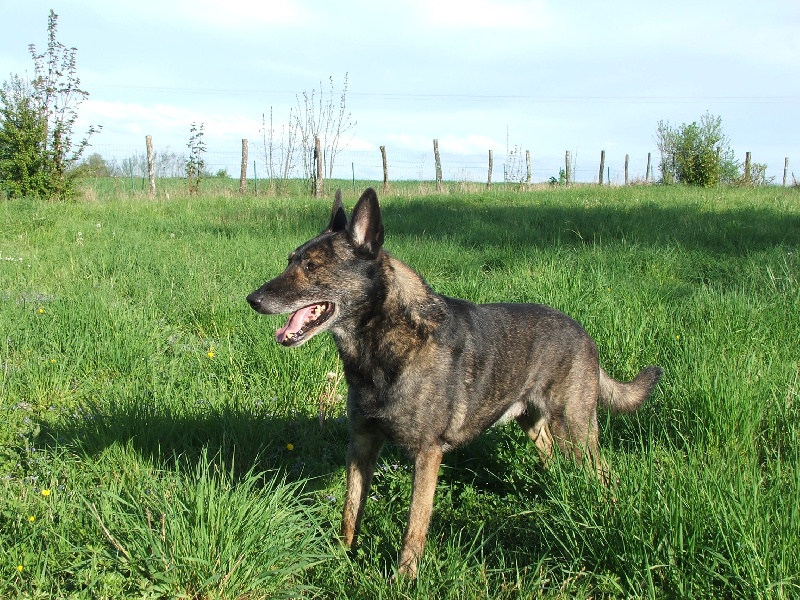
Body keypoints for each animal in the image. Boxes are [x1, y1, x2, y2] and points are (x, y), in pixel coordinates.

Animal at [245, 186, 664, 576]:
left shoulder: (427, 455)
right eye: (290, 261)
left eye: (312, 266)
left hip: (575, 430)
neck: (381, 345)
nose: (252, 300)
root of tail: (583, 332)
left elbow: (414, 527)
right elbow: (351, 511)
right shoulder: (362, 444)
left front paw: (404, 579)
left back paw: (607, 512)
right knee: (550, 457)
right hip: (535, 424)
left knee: (603, 473)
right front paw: (339, 557)